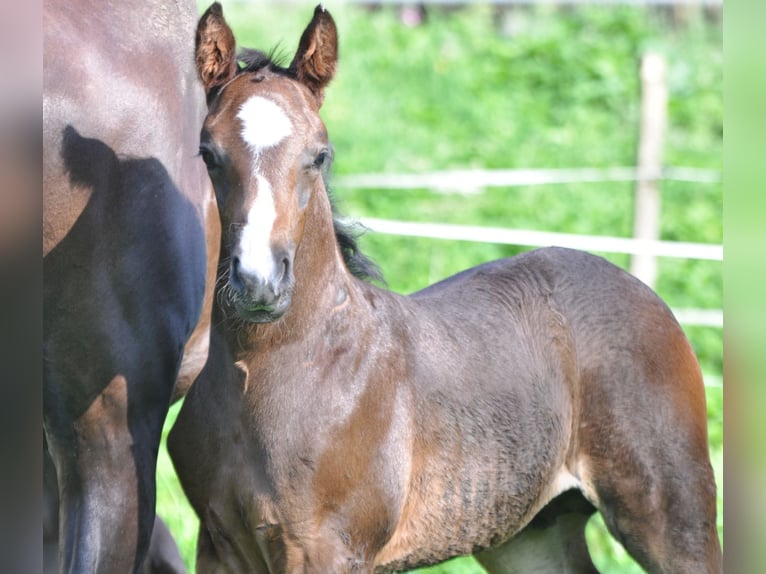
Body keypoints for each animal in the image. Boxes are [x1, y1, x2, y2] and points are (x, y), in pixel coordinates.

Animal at [170, 5, 728, 574]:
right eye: (209, 153)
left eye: (319, 155)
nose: (259, 281)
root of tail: (643, 291)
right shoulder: (218, 545)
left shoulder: (328, 549)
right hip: (529, 533)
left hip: (671, 511)